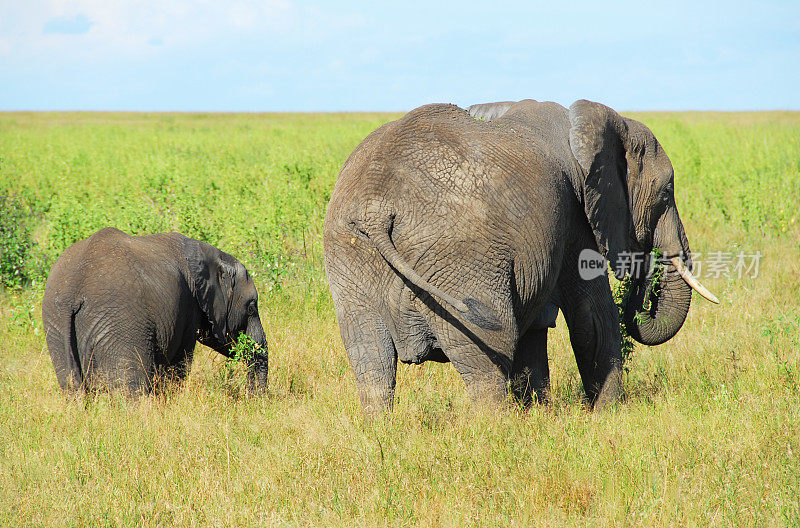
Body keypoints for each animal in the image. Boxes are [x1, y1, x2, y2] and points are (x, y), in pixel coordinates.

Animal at [42, 227, 268, 396]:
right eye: (251, 307)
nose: (253, 398)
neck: (208, 254)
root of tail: (72, 293)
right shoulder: (188, 308)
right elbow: (179, 362)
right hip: (121, 326)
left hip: (55, 326)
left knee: (72, 387)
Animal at [324, 98, 720, 412]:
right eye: (666, 192)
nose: (642, 294)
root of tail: (376, 207)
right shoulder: (575, 217)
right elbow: (591, 316)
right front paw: (609, 415)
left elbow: (536, 328)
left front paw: (539, 416)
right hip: (460, 260)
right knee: (486, 358)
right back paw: (494, 433)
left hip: (348, 254)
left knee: (370, 360)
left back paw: (379, 432)